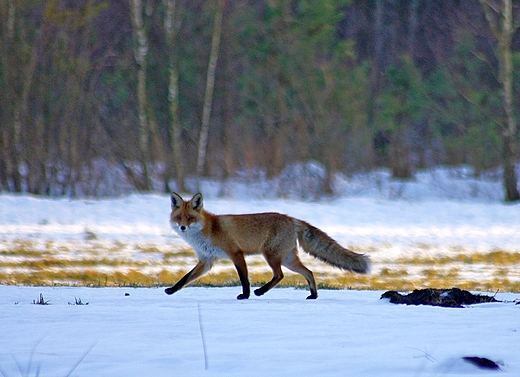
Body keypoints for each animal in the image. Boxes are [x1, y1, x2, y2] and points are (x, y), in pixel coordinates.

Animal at [165, 192, 372, 298]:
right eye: (179, 217)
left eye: (191, 218)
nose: (182, 227)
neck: (209, 229)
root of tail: (292, 219)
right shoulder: (206, 261)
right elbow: (185, 278)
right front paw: (171, 290)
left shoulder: (236, 253)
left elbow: (244, 279)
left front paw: (245, 295)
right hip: (288, 259)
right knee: (309, 272)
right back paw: (313, 295)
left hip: (271, 256)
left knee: (279, 275)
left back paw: (260, 291)